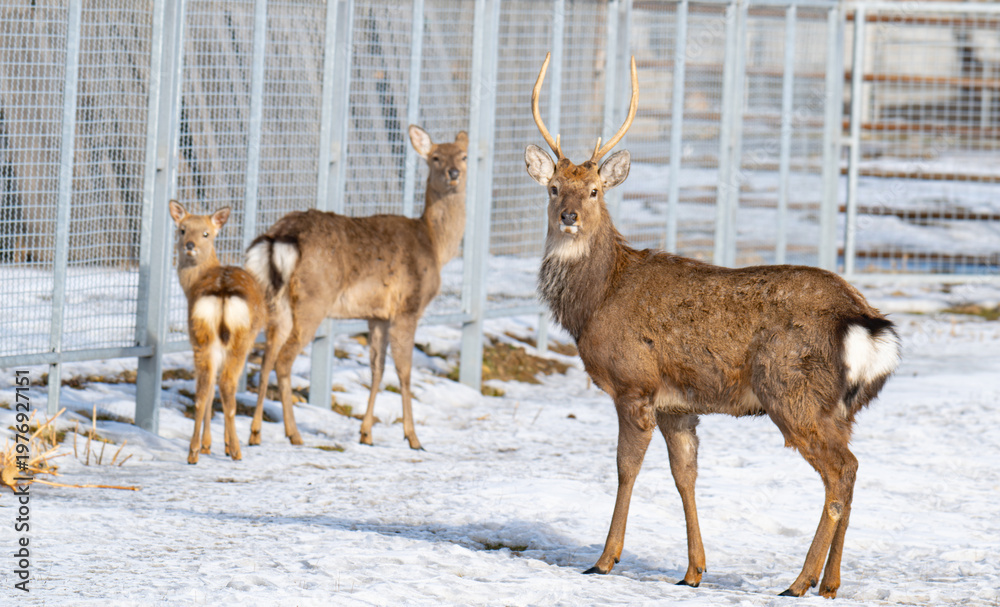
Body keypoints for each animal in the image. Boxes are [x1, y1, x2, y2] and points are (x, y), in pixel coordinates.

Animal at [169, 200, 267, 465]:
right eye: (182, 229)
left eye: (206, 233)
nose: (189, 245)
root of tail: (222, 292)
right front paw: (220, 445)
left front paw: (208, 446)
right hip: (240, 339)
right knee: (226, 385)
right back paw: (236, 450)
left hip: (200, 335)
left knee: (203, 390)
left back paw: (193, 452)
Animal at [244, 125, 468, 450]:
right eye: (435, 157)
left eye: (463, 155)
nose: (454, 173)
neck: (435, 247)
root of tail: (279, 237)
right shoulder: (408, 307)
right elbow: (404, 371)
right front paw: (413, 437)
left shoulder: (377, 316)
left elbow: (377, 369)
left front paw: (366, 434)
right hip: (314, 299)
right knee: (283, 361)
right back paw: (294, 434)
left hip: (277, 301)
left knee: (265, 359)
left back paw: (255, 433)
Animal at [524, 53, 900, 599]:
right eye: (554, 188)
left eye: (593, 190)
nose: (569, 216)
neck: (597, 299)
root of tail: (864, 321)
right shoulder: (677, 405)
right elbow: (685, 475)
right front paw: (693, 570)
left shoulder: (635, 383)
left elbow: (625, 469)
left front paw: (604, 560)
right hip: (839, 408)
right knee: (852, 470)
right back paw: (830, 583)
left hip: (792, 391)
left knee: (840, 471)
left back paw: (799, 581)